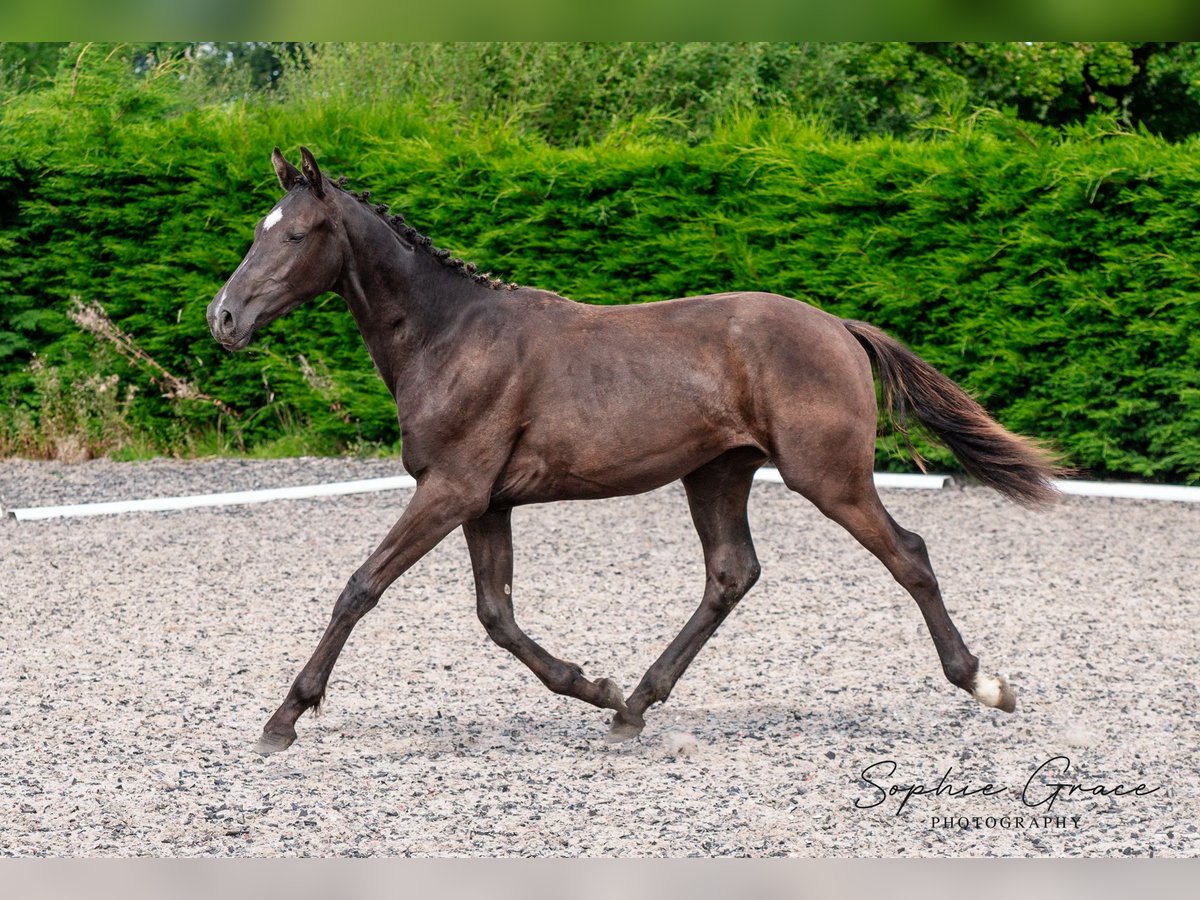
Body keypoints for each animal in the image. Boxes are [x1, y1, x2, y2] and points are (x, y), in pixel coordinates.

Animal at [206, 146, 1060, 753]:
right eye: (254, 230)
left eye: (296, 233)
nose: (222, 318)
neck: (449, 337)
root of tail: (840, 329)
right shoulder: (484, 502)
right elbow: (497, 615)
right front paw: (599, 689)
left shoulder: (448, 490)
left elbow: (361, 588)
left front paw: (284, 718)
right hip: (717, 474)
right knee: (731, 574)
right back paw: (637, 707)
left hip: (828, 477)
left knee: (907, 554)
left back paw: (986, 684)